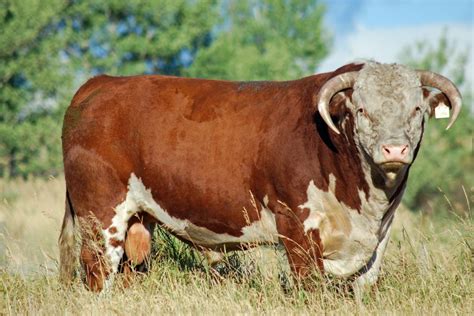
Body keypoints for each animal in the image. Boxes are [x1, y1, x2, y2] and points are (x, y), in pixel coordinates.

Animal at [57, 61, 462, 292]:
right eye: (361, 109)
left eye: (416, 109)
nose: (394, 149)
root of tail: (102, 82)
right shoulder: (296, 226)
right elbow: (310, 288)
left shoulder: (377, 241)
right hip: (100, 216)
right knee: (97, 272)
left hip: (138, 221)